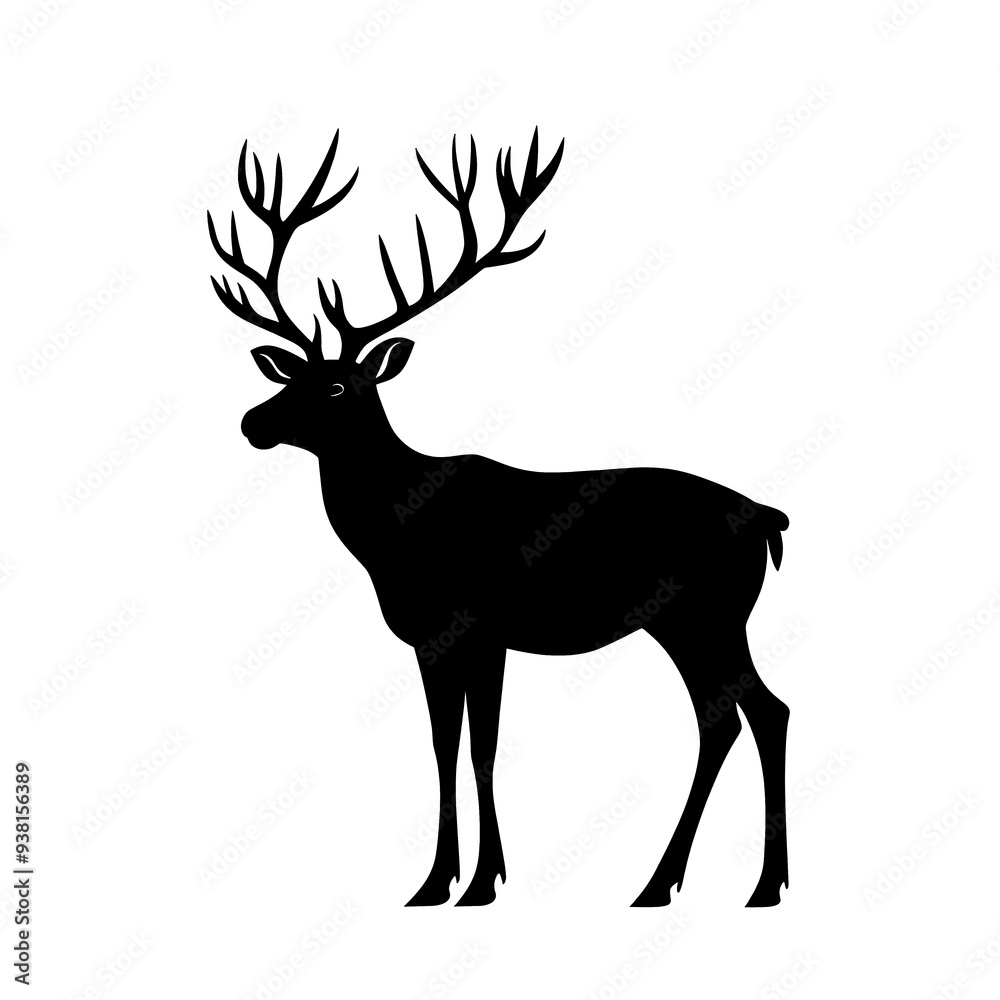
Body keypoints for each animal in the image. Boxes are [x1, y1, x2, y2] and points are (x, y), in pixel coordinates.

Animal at [207, 129, 791, 907]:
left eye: (335, 385)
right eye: (287, 375)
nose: (252, 422)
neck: (394, 535)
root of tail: (768, 518)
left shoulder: (478, 627)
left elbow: (479, 745)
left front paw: (479, 880)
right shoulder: (436, 639)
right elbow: (446, 745)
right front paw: (440, 880)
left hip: (708, 613)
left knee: (752, 712)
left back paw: (725, 884)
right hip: (694, 621)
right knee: (733, 715)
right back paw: (697, 882)